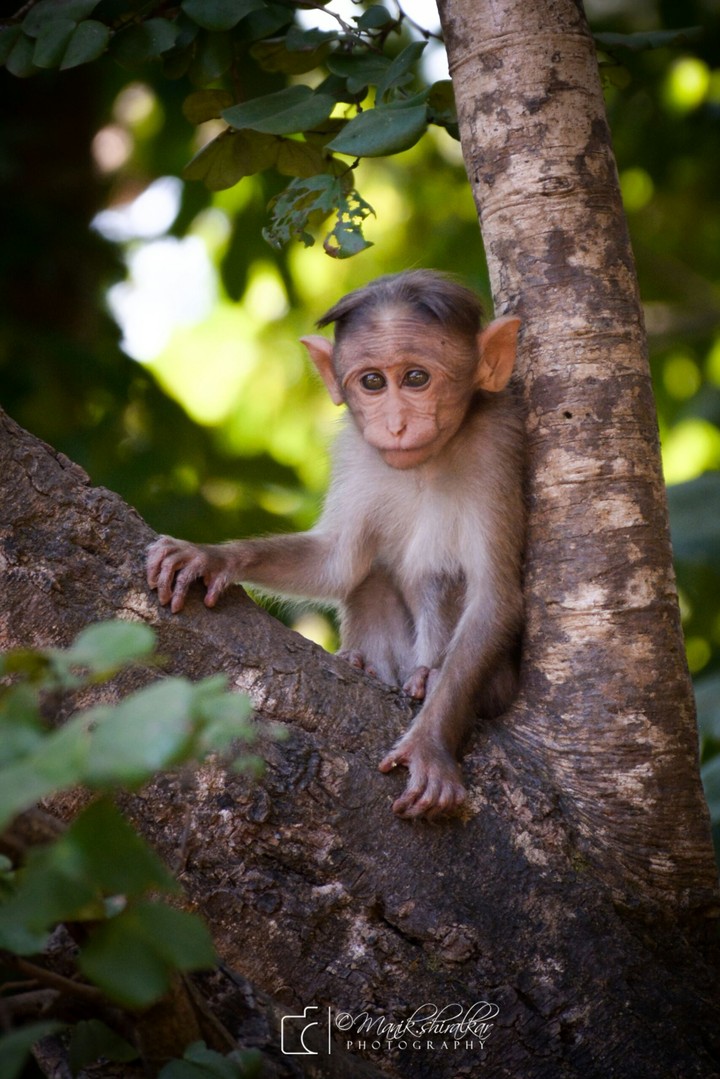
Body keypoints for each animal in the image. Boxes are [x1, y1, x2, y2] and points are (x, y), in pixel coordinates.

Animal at [146, 270, 524, 820]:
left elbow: (495, 598)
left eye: (416, 378)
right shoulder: (356, 448)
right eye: (372, 383)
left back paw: (429, 679)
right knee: (372, 577)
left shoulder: (498, 444)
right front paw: (210, 557)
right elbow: (337, 563)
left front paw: (430, 743)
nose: (394, 424)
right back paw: (363, 665)